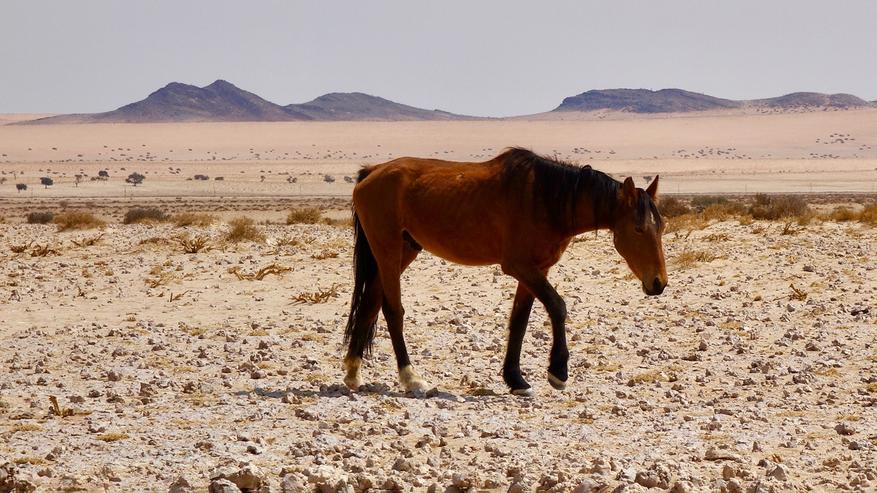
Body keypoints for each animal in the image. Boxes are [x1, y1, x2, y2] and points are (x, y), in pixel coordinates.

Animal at [342, 147, 667, 396]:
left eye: (661, 226)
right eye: (638, 228)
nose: (658, 283)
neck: (546, 198)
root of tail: (372, 172)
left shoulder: (536, 270)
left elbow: (519, 321)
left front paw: (516, 379)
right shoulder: (520, 266)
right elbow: (557, 307)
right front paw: (558, 371)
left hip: (403, 250)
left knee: (370, 302)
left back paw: (353, 372)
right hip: (388, 249)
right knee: (391, 309)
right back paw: (411, 378)